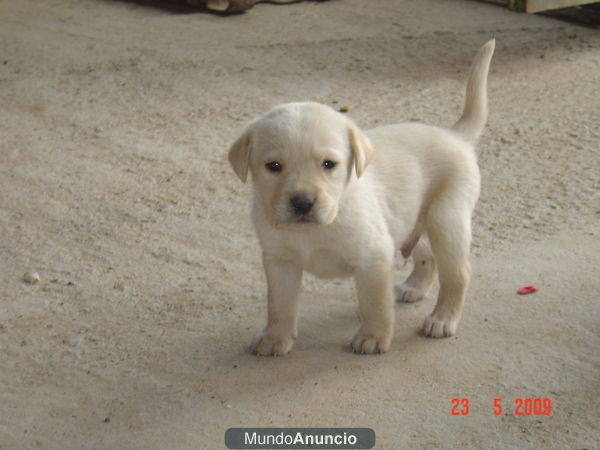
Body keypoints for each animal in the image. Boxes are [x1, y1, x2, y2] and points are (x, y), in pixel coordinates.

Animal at [227, 39, 494, 356]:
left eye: (328, 164)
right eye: (274, 166)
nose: (303, 203)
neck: (316, 229)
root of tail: (456, 136)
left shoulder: (374, 257)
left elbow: (374, 304)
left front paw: (373, 337)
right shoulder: (279, 261)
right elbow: (279, 305)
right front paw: (275, 337)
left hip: (446, 219)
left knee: (458, 273)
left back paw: (442, 319)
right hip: (408, 222)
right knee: (427, 255)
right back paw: (414, 288)